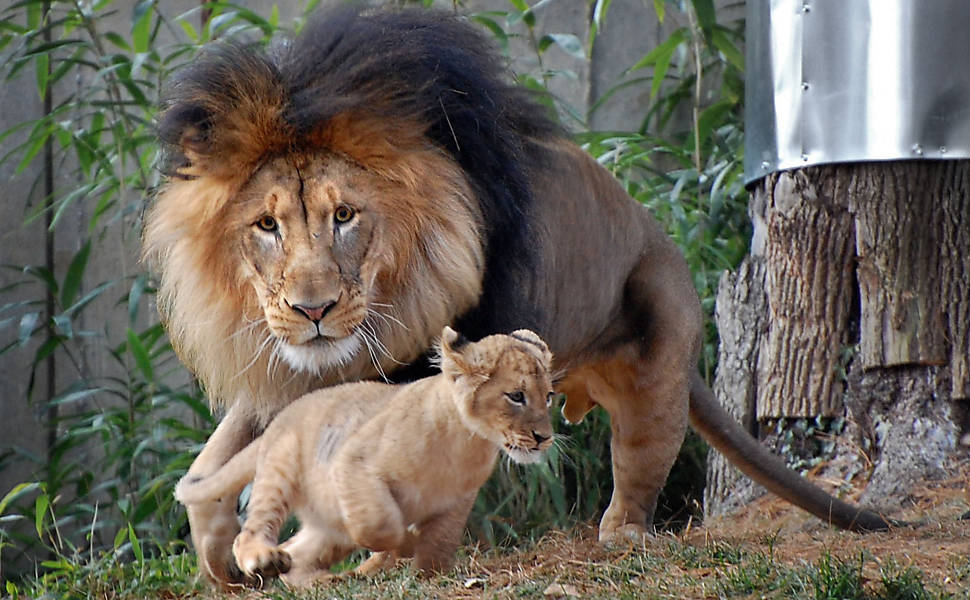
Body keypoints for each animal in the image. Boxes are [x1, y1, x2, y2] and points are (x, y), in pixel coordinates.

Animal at [174, 326, 555, 587]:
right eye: (516, 396)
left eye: (548, 396)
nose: (545, 438)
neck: (467, 442)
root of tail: (281, 416)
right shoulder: (353, 464)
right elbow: (383, 524)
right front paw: (404, 545)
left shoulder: (457, 501)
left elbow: (439, 544)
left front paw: (428, 573)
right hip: (279, 475)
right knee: (251, 532)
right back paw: (267, 561)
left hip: (328, 524)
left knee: (298, 549)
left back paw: (316, 578)